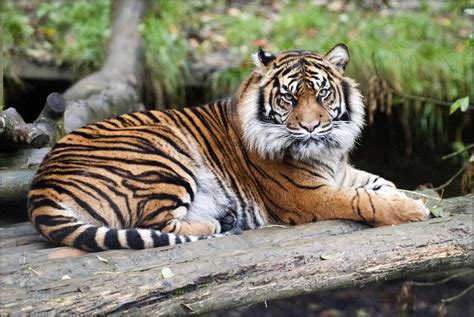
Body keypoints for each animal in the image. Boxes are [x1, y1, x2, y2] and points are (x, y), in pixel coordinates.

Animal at [27, 43, 432, 249]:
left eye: (321, 94)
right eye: (288, 98)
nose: (311, 127)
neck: (328, 152)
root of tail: (39, 187)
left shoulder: (344, 173)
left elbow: (382, 184)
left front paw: (416, 196)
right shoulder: (309, 195)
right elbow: (362, 200)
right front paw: (412, 210)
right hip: (160, 158)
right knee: (157, 224)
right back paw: (217, 222)